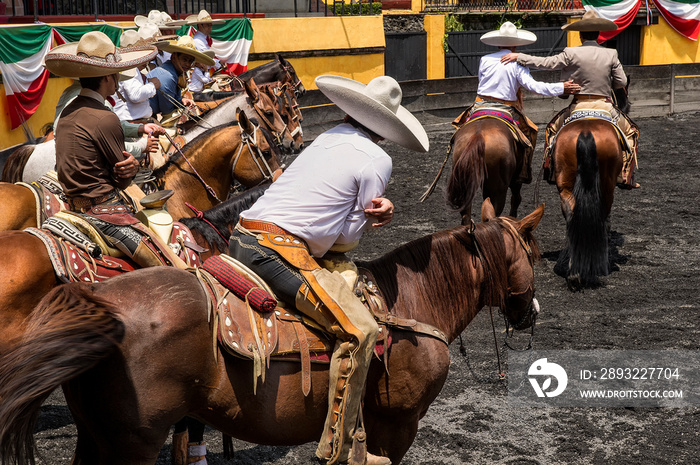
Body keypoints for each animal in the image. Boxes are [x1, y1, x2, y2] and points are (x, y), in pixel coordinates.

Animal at [0, 198, 544, 464]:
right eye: (532, 254)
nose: (531, 312)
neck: (408, 304)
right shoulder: (397, 425)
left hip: (98, 435)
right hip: (131, 443)